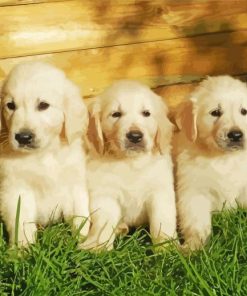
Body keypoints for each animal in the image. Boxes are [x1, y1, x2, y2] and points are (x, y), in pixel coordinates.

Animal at [0, 61, 90, 246]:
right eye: (10, 106)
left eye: (43, 105)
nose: (23, 137)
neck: (44, 154)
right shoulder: (16, 190)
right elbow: (21, 223)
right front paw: (22, 249)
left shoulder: (74, 183)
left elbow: (81, 213)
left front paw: (85, 242)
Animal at [81, 80, 176, 250]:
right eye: (116, 114)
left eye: (146, 113)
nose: (135, 136)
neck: (130, 162)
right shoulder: (105, 193)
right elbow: (104, 223)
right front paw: (98, 247)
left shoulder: (160, 190)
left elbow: (162, 221)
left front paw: (167, 247)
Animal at [175, 75, 247, 250]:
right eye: (215, 112)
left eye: (244, 111)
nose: (236, 135)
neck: (223, 158)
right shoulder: (194, 191)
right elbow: (196, 222)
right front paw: (193, 247)